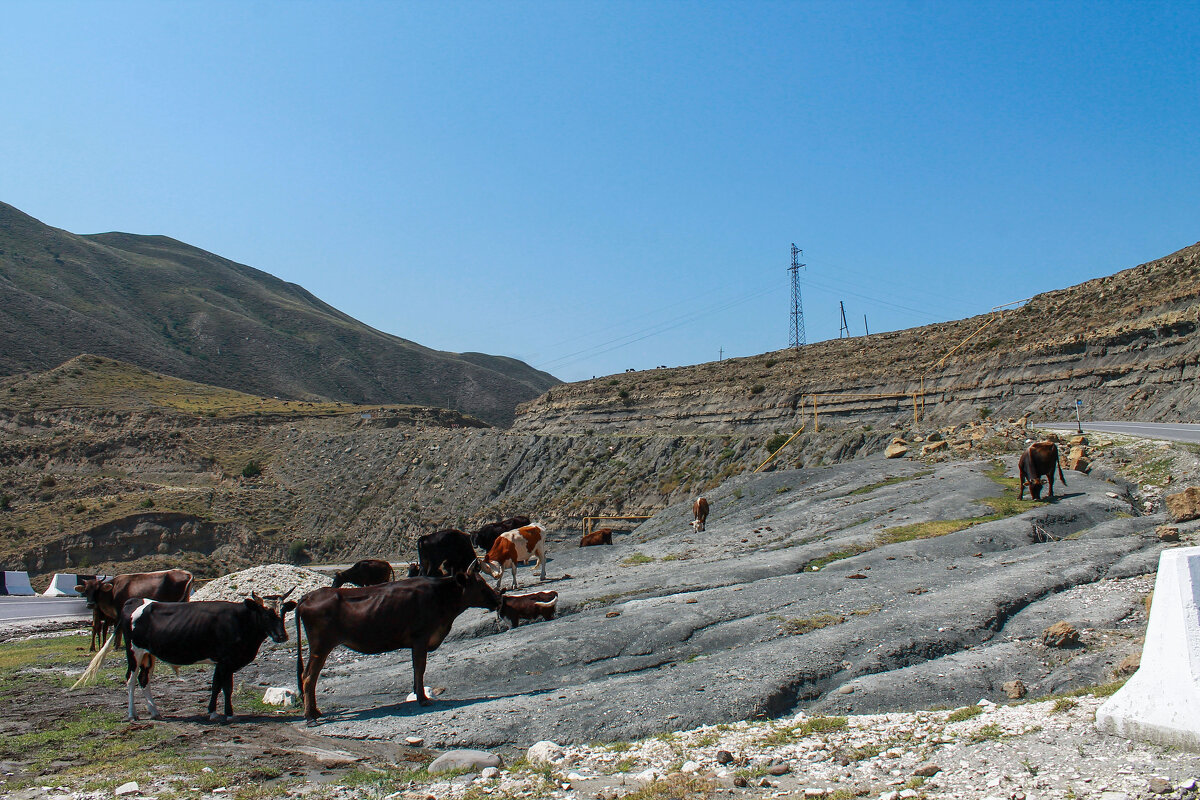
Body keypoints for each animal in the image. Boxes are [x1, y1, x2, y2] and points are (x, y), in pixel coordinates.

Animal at [73, 587, 296, 724]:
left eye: (283, 612)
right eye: (265, 613)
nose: (282, 636)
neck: (241, 620)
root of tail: (135, 601)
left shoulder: (223, 662)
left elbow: (217, 685)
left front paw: (213, 712)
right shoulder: (225, 660)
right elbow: (225, 687)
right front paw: (228, 714)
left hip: (148, 655)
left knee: (144, 680)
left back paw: (155, 712)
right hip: (134, 651)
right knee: (130, 679)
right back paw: (132, 715)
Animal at [295, 563, 501, 724]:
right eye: (481, 584)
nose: (497, 600)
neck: (441, 597)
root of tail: (308, 596)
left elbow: (415, 668)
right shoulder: (421, 638)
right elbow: (420, 668)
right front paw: (422, 699)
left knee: (311, 677)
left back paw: (315, 712)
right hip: (320, 646)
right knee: (308, 677)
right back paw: (310, 716)